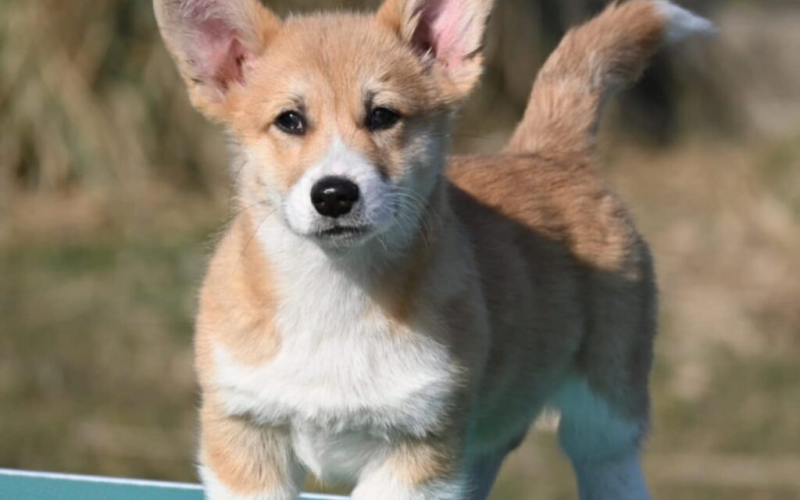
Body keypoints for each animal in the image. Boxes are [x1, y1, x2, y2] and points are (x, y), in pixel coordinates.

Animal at [155, 1, 712, 498]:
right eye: (290, 120)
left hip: (603, 412)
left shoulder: (417, 450)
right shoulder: (245, 436)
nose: (334, 195)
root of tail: (549, 154)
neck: (336, 291)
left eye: (383, 116)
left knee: (608, 464)